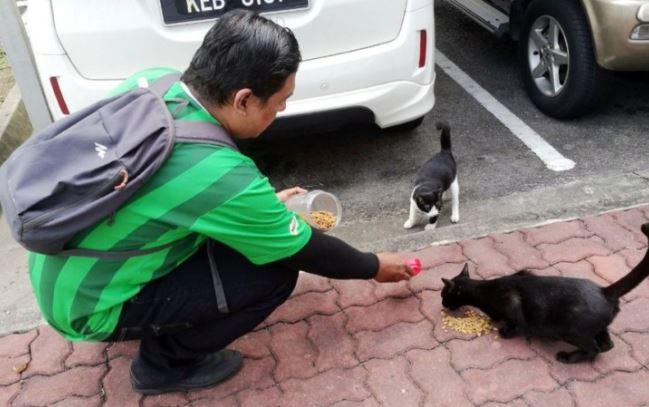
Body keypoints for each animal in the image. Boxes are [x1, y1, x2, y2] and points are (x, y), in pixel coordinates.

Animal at [438, 225, 648, 364]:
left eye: (443, 295)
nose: (442, 304)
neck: (483, 290)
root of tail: (604, 291)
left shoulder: (511, 303)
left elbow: (514, 323)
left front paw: (504, 331)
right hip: (597, 327)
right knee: (607, 344)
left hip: (571, 331)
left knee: (593, 348)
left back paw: (568, 358)